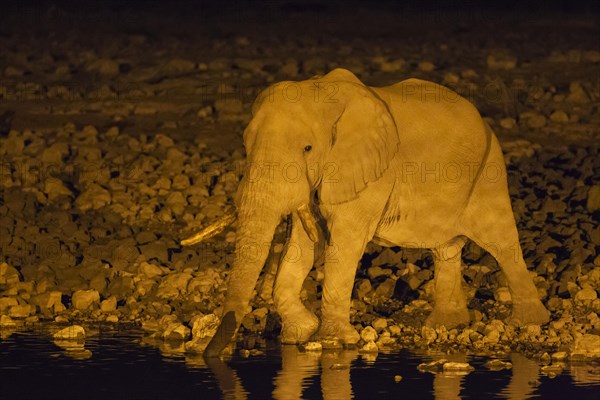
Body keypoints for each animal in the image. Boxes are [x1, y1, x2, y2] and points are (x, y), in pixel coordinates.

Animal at [204, 68, 552, 356]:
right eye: (246, 146)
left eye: (307, 148)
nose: (211, 356)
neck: (323, 92)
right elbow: (303, 242)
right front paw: (300, 334)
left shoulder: (371, 171)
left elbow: (344, 244)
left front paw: (336, 342)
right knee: (446, 249)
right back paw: (446, 324)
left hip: (489, 170)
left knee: (501, 241)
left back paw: (528, 323)